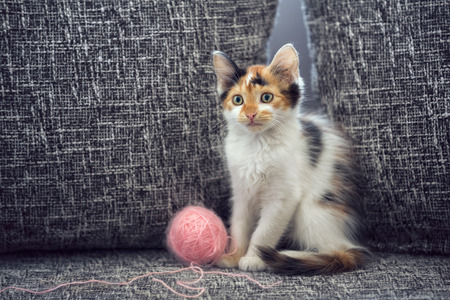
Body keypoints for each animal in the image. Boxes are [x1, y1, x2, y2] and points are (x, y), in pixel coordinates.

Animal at [213, 43, 368, 276]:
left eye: (266, 98)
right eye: (238, 100)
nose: (250, 114)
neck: (257, 145)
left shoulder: (284, 196)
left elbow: (264, 232)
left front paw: (253, 258)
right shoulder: (241, 192)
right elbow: (239, 225)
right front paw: (233, 256)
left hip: (311, 211)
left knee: (336, 251)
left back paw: (290, 255)